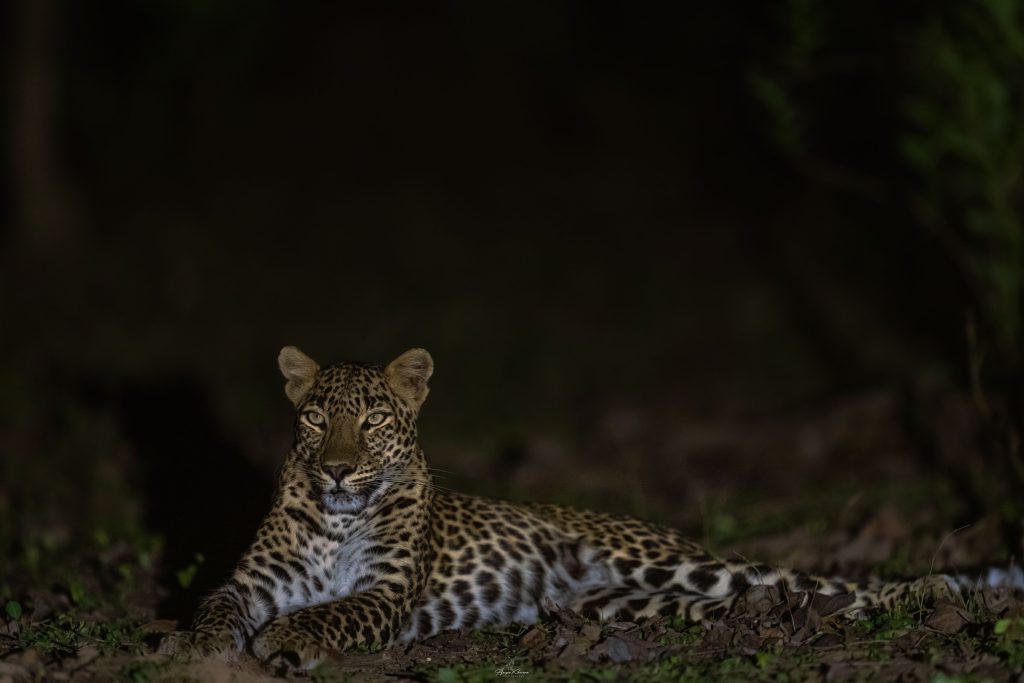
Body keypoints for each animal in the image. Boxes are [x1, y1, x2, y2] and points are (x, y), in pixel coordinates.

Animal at [155, 348, 954, 671]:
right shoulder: (253, 582)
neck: (338, 515)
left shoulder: (382, 593)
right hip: (636, 606)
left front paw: (287, 639)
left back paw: (935, 590)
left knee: (813, 582)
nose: (338, 467)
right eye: (317, 419)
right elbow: (215, 606)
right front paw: (196, 646)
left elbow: (331, 610)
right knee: (779, 597)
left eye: (374, 420)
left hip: (675, 563)